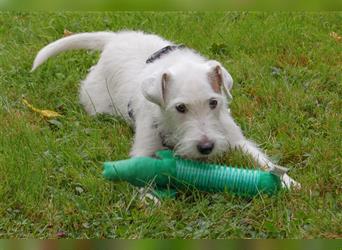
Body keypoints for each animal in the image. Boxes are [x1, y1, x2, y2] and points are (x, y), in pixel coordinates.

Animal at [31, 30, 300, 188]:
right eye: (180, 108)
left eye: (213, 103)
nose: (206, 147)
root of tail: (114, 38)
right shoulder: (143, 148)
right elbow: (140, 171)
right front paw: (151, 201)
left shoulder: (237, 140)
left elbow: (262, 160)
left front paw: (289, 182)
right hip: (96, 102)